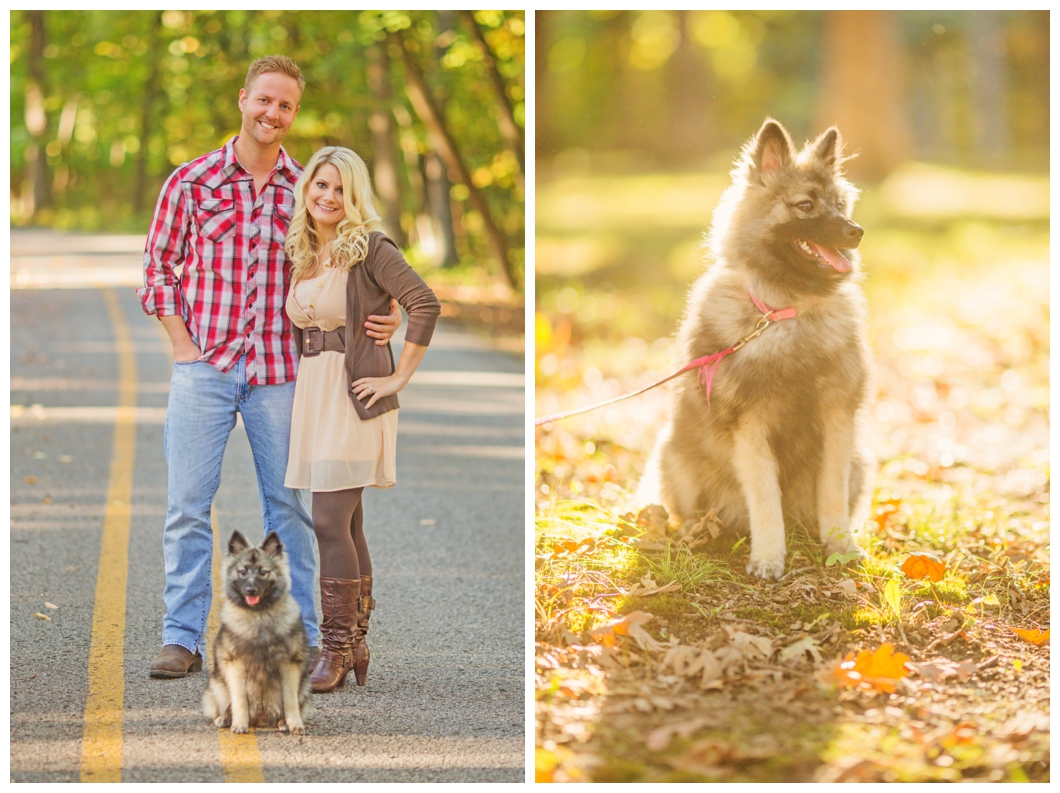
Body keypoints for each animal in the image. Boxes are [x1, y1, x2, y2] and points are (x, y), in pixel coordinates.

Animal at [202, 530, 309, 733]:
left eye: (262, 572)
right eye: (242, 571)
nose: (251, 590)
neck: (259, 615)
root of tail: (260, 718)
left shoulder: (289, 666)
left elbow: (289, 700)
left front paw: (295, 724)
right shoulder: (236, 666)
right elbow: (239, 699)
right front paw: (239, 724)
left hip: (304, 687)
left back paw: (282, 722)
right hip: (218, 685)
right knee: (226, 704)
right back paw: (225, 718)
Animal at [635, 116, 877, 576]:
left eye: (840, 205)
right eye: (805, 205)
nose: (857, 232)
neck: (787, 311)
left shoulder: (837, 418)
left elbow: (831, 493)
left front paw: (840, 545)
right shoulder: (750, 425)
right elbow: (765, 499)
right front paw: (768, 557)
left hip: (858, 461)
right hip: (675, 455)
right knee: (690, 509)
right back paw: (696, 532)